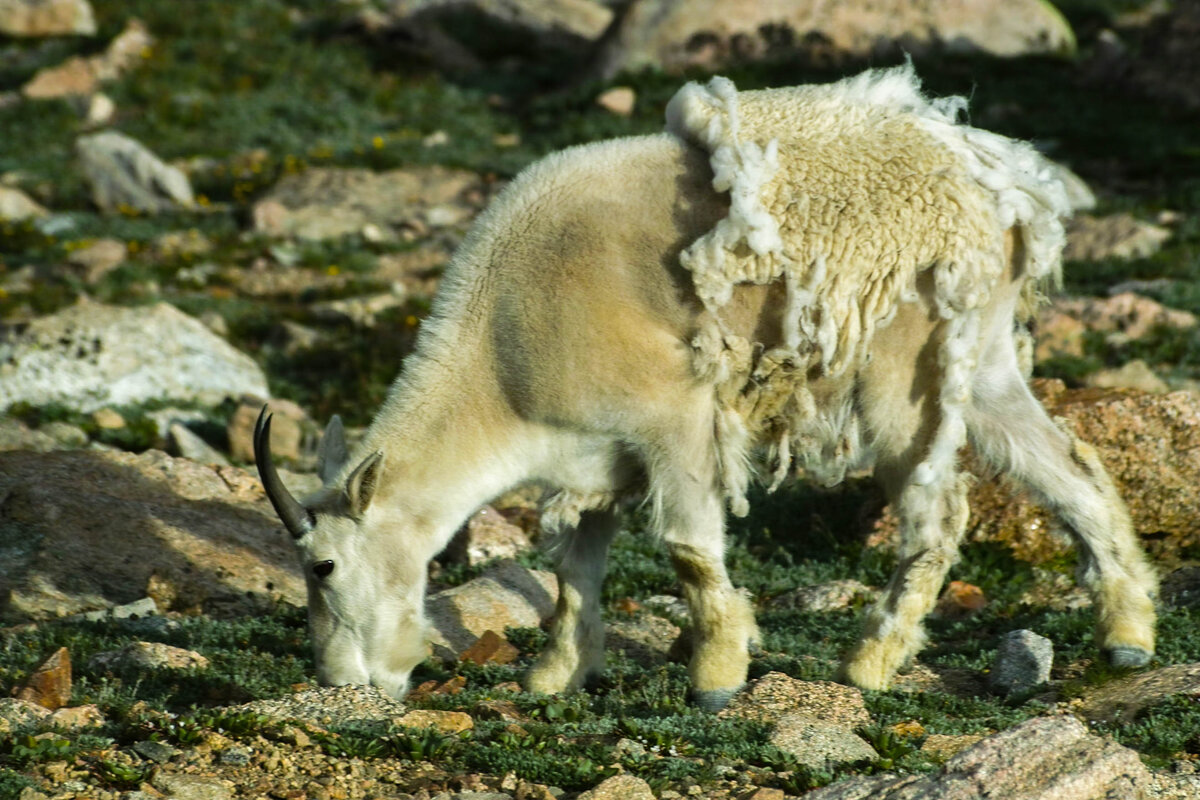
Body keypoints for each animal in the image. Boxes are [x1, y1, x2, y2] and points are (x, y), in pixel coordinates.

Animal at [254, 63, 1158, 709]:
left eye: (323, 567)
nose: (341, 683)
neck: (502, 356)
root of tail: (1005, 190)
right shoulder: (598, 456)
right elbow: (576, 568)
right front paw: (555, 677)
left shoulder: (673, 416)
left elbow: (689, 548)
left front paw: (717, 679)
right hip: (987, 352)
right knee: (1070, 468)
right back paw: (1128, 634)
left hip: (904, 363)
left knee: (936, 513)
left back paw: (869, 662)